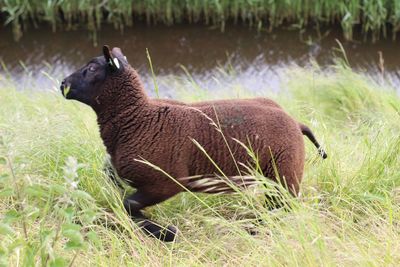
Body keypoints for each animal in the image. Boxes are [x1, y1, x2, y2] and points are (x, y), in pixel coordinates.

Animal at [60, 45, 328, 243]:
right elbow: (122, 203)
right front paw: (158, 230)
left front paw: (165, 233)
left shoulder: (166, 182)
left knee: (280, 209)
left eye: (92, 68)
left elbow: (128, 206)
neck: (138, 117)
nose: (62, 84)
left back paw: (253, 230)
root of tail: (296, 122)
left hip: (283, 175)